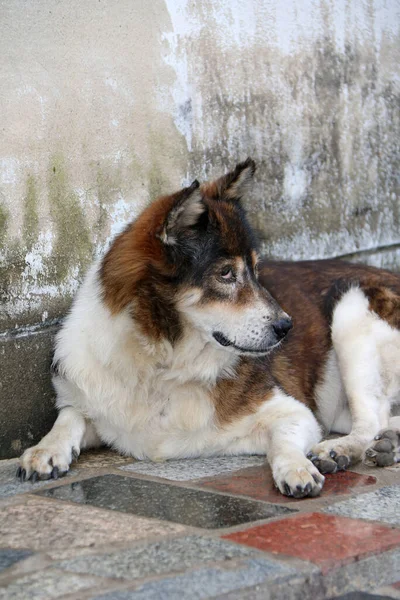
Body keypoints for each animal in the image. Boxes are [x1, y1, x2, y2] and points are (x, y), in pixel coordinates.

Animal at [16, 158, 400, 496]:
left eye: (256, 270)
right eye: (226, 273)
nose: (286, 326)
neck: (163, 364)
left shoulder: (295, 413)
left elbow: (284, 441)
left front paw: (296, 467)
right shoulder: (93, 403)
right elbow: (69, 416)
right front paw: (46, 450)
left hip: (351, 308)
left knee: (371, 421)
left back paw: (342, 449)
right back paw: (389, 445)